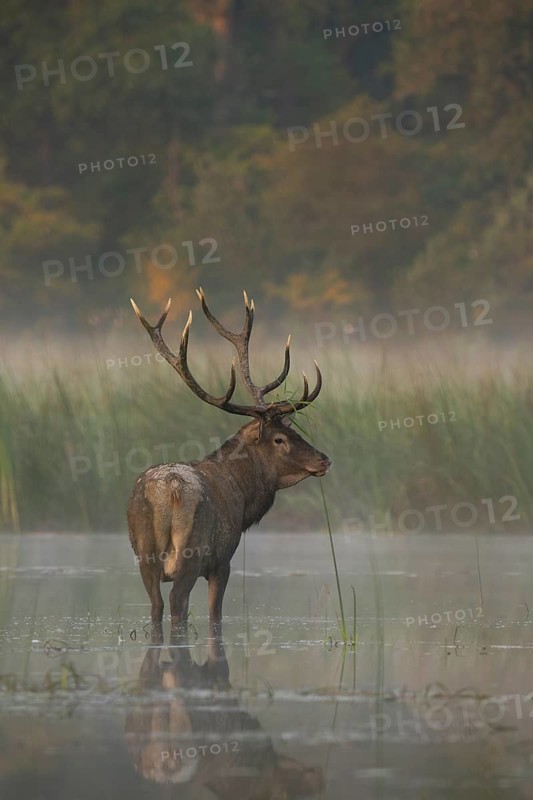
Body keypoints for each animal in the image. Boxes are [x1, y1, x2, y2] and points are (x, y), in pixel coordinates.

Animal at [128, 288, 331, 633]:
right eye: (280, 439)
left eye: (291, 429)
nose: (324, 460)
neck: (244, 498)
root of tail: (165, 494)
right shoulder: (223, 560)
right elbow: (216, 615)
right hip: (191, 553)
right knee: (177, 602)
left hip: (145, 556)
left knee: (156, 606)